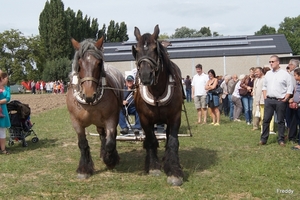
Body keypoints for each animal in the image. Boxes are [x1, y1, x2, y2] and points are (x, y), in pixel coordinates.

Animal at [67, 37, 124, 178]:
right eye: (80, 63)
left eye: (98, 63)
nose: (89, 95)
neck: (89, 104)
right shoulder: (76, 122)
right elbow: (83, 144)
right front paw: (84, 169)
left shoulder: (111, 118)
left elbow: (110, 142)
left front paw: (110, 160)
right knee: (101, 134)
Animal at [132, 25, 184, 186]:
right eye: (136, 50)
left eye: (155, 49)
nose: (145, 75)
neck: (156, 92)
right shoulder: (144, 119)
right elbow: (151, 140)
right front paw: (153, 166)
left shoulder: (175, 118)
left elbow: (172, 142)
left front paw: (174, 171)